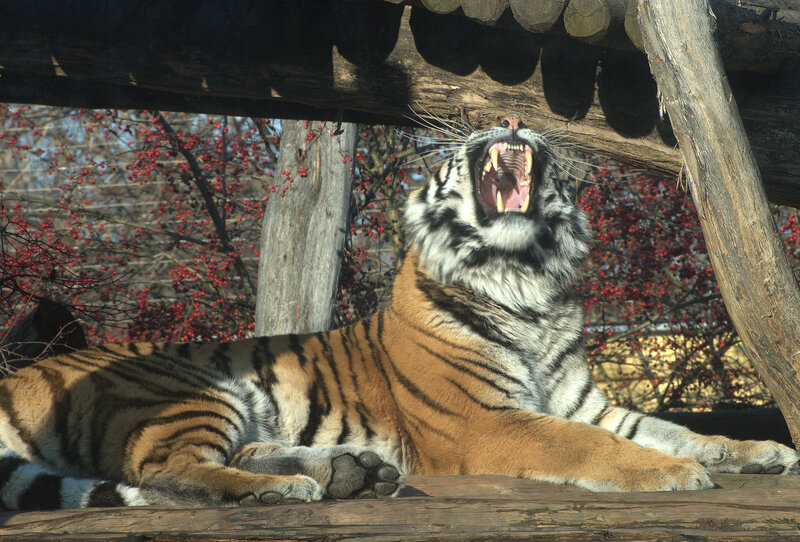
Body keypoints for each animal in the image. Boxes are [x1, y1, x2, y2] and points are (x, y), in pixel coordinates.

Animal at [1, 116, 798, 510]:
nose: (513, 116)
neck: (528, 283)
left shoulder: (587, 402)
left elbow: (670, 428)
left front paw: (755, 451)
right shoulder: (487, 421)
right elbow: (590, 447)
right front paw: (676, 475)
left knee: (225, 455)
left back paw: (349, 472)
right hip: (186, 388)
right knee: (169, 469)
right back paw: (290, 488)